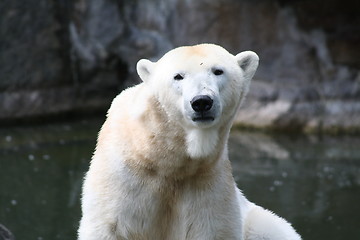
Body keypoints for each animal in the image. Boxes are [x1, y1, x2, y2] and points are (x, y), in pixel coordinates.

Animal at [78, 43, 300, 240]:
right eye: (178, 76)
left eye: (218, 71)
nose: (202, 101)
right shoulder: (123, 177)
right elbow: (109, 226)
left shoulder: (207, 183)